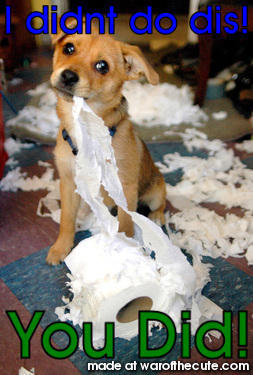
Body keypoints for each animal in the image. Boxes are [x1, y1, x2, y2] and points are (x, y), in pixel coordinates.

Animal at [46, 25, 167, 266]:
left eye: (102, 66)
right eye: (68, 48)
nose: (68, 76)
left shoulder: (125, 187)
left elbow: (127, 224)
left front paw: (127, 250)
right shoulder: (68, 182)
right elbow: (66, 220)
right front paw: (61, 248)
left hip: (157, 191)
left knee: (161, 204)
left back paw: (157, 216)